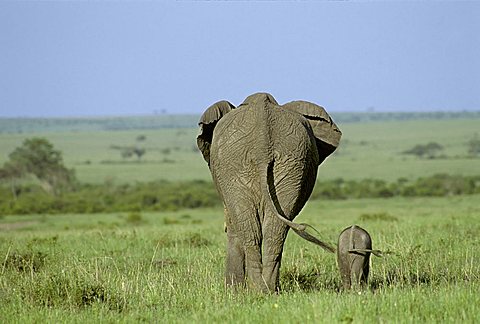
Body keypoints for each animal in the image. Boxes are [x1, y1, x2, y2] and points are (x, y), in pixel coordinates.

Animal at [198, 92, 342, 292]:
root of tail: (262, 144)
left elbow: (233, 226)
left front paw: (232, 291)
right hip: (287, 162)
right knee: (272, 229)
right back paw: (267, 289)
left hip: (239, 166)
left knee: (251, 228)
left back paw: (258, 289)